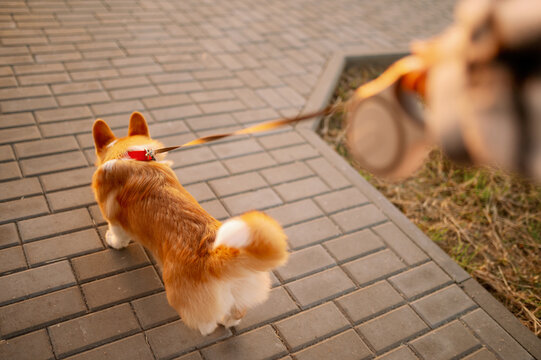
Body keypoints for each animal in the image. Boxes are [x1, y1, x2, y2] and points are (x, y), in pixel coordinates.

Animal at [90, 112, 288, 334]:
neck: (131, 156)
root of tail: (217, 256)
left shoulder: (115, 221)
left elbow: (118, 236)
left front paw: (112, 241)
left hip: (180, 296)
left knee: (206, 323)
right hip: (240, 291)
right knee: (236, 312)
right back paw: (228, 321)